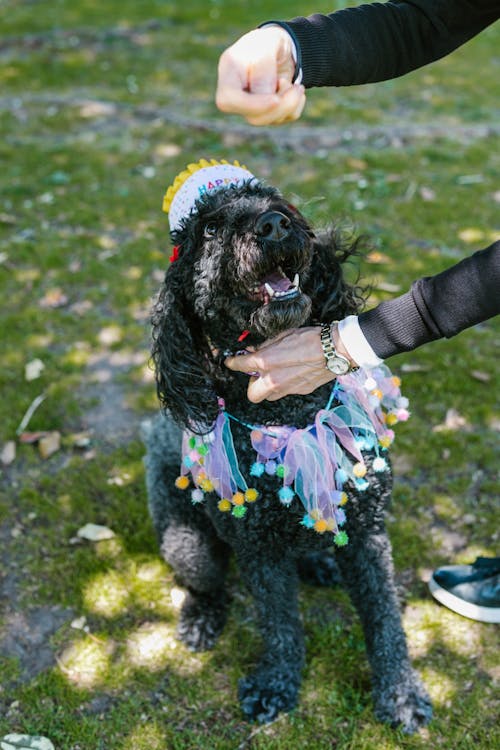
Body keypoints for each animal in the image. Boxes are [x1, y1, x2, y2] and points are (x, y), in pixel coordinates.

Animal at [143, 181, 432, 736]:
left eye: (272, 199)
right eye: (209, 229)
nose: (273, 225)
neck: (293, 412)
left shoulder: (368, 531)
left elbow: (384, 617)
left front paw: (401, 694)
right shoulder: (260, 550)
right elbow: (279, 623)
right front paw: (276, 684)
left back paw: (319, 559)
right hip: (187, 543)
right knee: (206, 582)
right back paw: (200, 618)